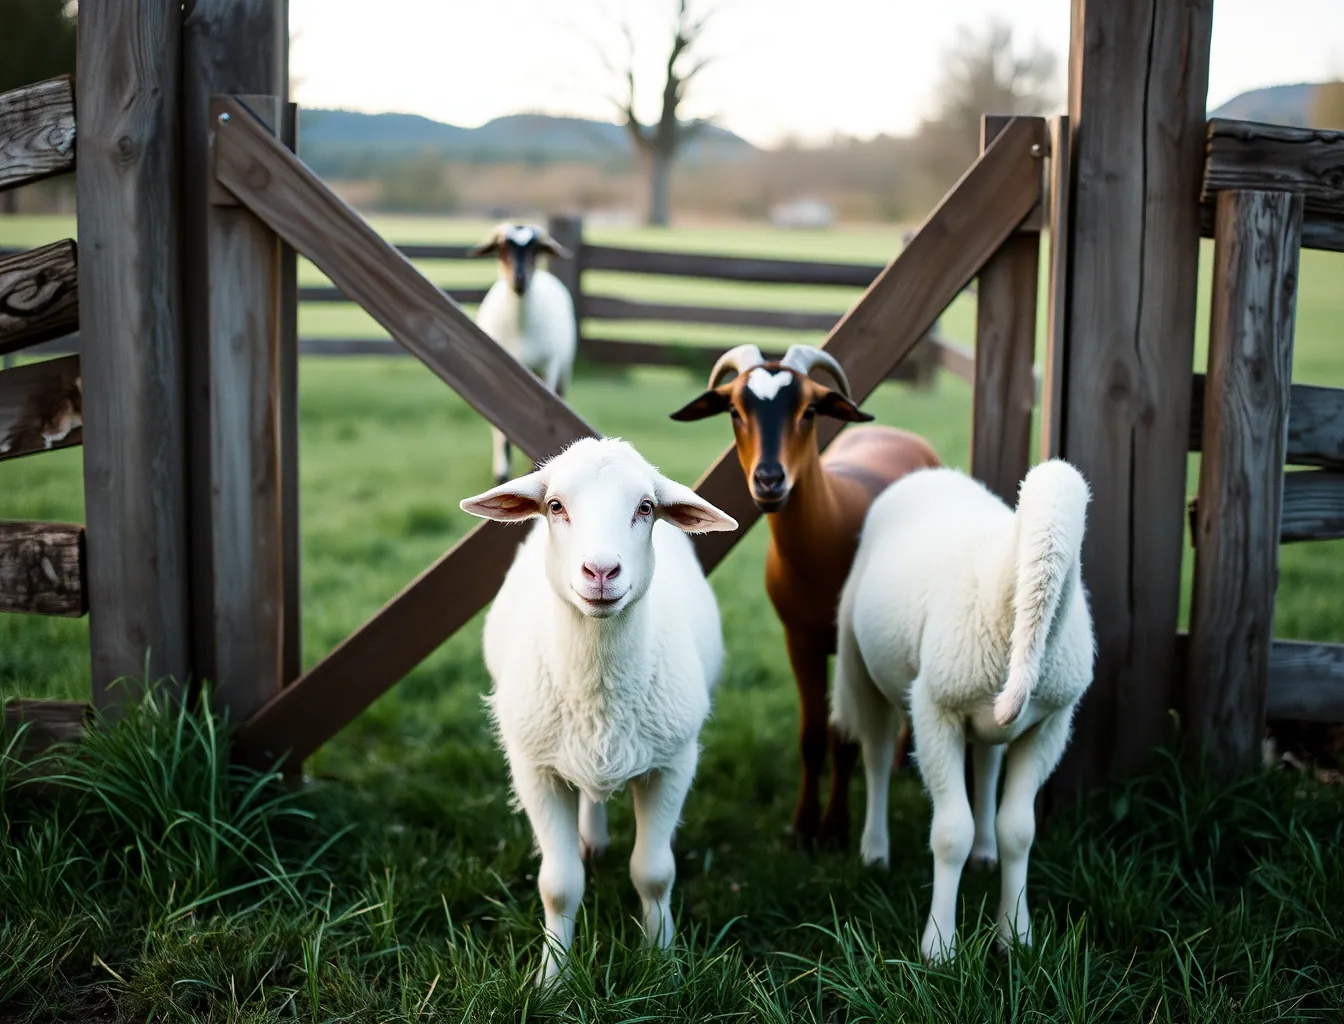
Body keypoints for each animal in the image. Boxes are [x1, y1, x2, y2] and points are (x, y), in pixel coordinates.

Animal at [459, 436, 738, 984]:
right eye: (555, 506)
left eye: (645, 508)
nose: (602, 572)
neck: (598, 690)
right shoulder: (535, 769)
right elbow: (559, 884)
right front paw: (552, 978)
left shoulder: (673, 764)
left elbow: (654, 874)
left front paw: (662, 962)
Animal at [467, 223, 578, 484]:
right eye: (502, 248)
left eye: (535, 249)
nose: (519, 279)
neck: (520, 332)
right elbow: (501, 429)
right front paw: (501, 474)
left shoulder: (548, 369)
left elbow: (545, 421)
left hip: (563, 370)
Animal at [670, 344, 940, 848]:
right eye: (734, 411)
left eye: (810, 411)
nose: (769, 480)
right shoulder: (799, 639)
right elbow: (812, 735)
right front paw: (802, 826)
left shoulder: (849, 647)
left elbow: (843, 737)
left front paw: (834, 829)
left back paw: (903, 761)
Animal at [830, 460, 1095, 961]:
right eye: (1025, 518)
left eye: (1077, 536)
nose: (1012, 702)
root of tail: (930, 472)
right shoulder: (935, 711)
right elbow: (951, 834)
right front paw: (938, 948)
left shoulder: (1050, 726)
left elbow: (1019, 830)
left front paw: (1015, 937)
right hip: (864, 670)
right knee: (877, 756)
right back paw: (874, 852)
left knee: (987, 766)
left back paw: (985, 854)